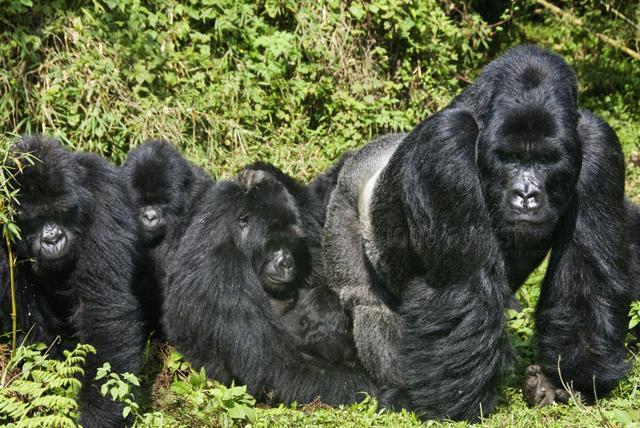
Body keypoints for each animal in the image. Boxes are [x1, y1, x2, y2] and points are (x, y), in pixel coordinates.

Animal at [0, 136, 146, 428]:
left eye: (61, 212)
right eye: (35, 219)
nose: (53, 238)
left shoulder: (104, 194)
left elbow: (101, 307)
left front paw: (99, 414)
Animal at [162, 167, 378, 404]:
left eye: (291, 243)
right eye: (274, 243)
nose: (287, 263)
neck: (226, 235)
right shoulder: (223, 270)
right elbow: (276, 370)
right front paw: (382, 391)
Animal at [322, 45, 632, 420]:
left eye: (546, 159)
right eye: (509, 157)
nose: (525, 195)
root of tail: (368, 152)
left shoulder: (599, 143)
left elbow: (586, 276)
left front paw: (565, 380)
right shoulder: (445, 144)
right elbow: (464, 285)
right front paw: (458, 404)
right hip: (342, 200)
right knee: (366, 301)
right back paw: (399, 390)